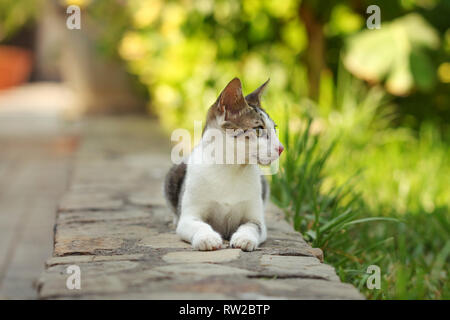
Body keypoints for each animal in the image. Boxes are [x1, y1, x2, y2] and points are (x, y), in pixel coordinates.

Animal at [165, 76, 284, 251]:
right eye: (258, 130)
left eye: (275, 129)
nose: (281, 148)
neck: (231, 168)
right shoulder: (189, 216)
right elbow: (197, 224)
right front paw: (207, 238)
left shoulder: (256, 218)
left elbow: (252, 226)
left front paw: (244, 238)